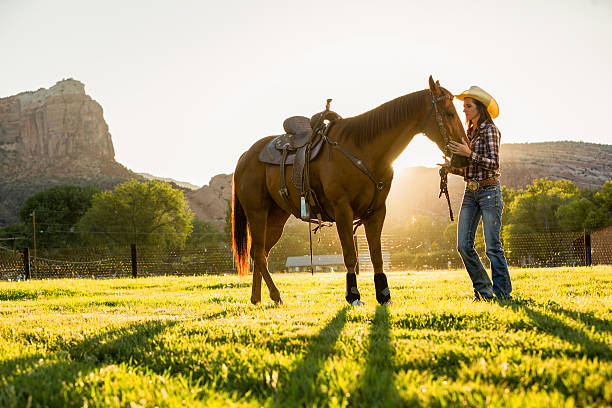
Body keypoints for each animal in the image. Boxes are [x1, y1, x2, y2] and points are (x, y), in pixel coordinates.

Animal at [230, 76, 464, 306]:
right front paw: (353, 295)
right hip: (257, 213)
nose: (463, 151)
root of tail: (246, 155)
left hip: (277, 217)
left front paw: (384, 294)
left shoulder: (377, 212)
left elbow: (376, 255)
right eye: (449, 113)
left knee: (259, 253)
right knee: (259, 253)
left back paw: (256, 297)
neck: (362, 150)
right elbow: (350, 255)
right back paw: (275, 294)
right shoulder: (343, 210)